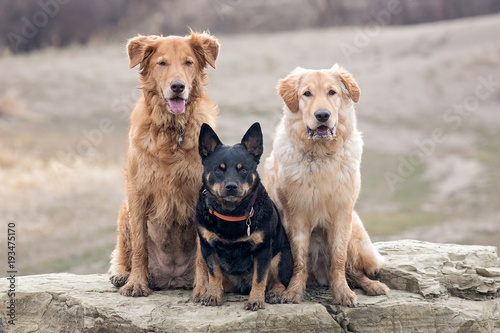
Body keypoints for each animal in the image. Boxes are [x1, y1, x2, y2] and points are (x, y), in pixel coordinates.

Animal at [109, 31, 219, 296]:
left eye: (188, 62)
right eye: (162, 63)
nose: (177, 86)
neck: (172, 130)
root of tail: (173, 278)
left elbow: (202, 253)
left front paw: (203, 289)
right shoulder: (137, 192)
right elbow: (139, 247)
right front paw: (136, 283)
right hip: (125, 210)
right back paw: (121, 274)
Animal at [191, 123, 292, 310]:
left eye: (244, 169)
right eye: (218, 169)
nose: (231, 186)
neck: (231, 214)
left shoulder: (263, 250)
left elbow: (259, 277)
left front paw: (255, 300)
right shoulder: (208, 247)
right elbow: (214, 273)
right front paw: (213, 294)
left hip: (281, 256)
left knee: (278, 280)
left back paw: (275, 292)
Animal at [264, 65, 388, 306]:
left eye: (332, 92)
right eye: (307, 94)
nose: (322, 115)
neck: (320, 155)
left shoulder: (342, 213)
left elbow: (338, 259)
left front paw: (342, 293)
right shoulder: (296, 215)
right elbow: (299, 258)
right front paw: (293, 292)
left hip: (355, 233)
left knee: (354, 271)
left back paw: (372, 285)